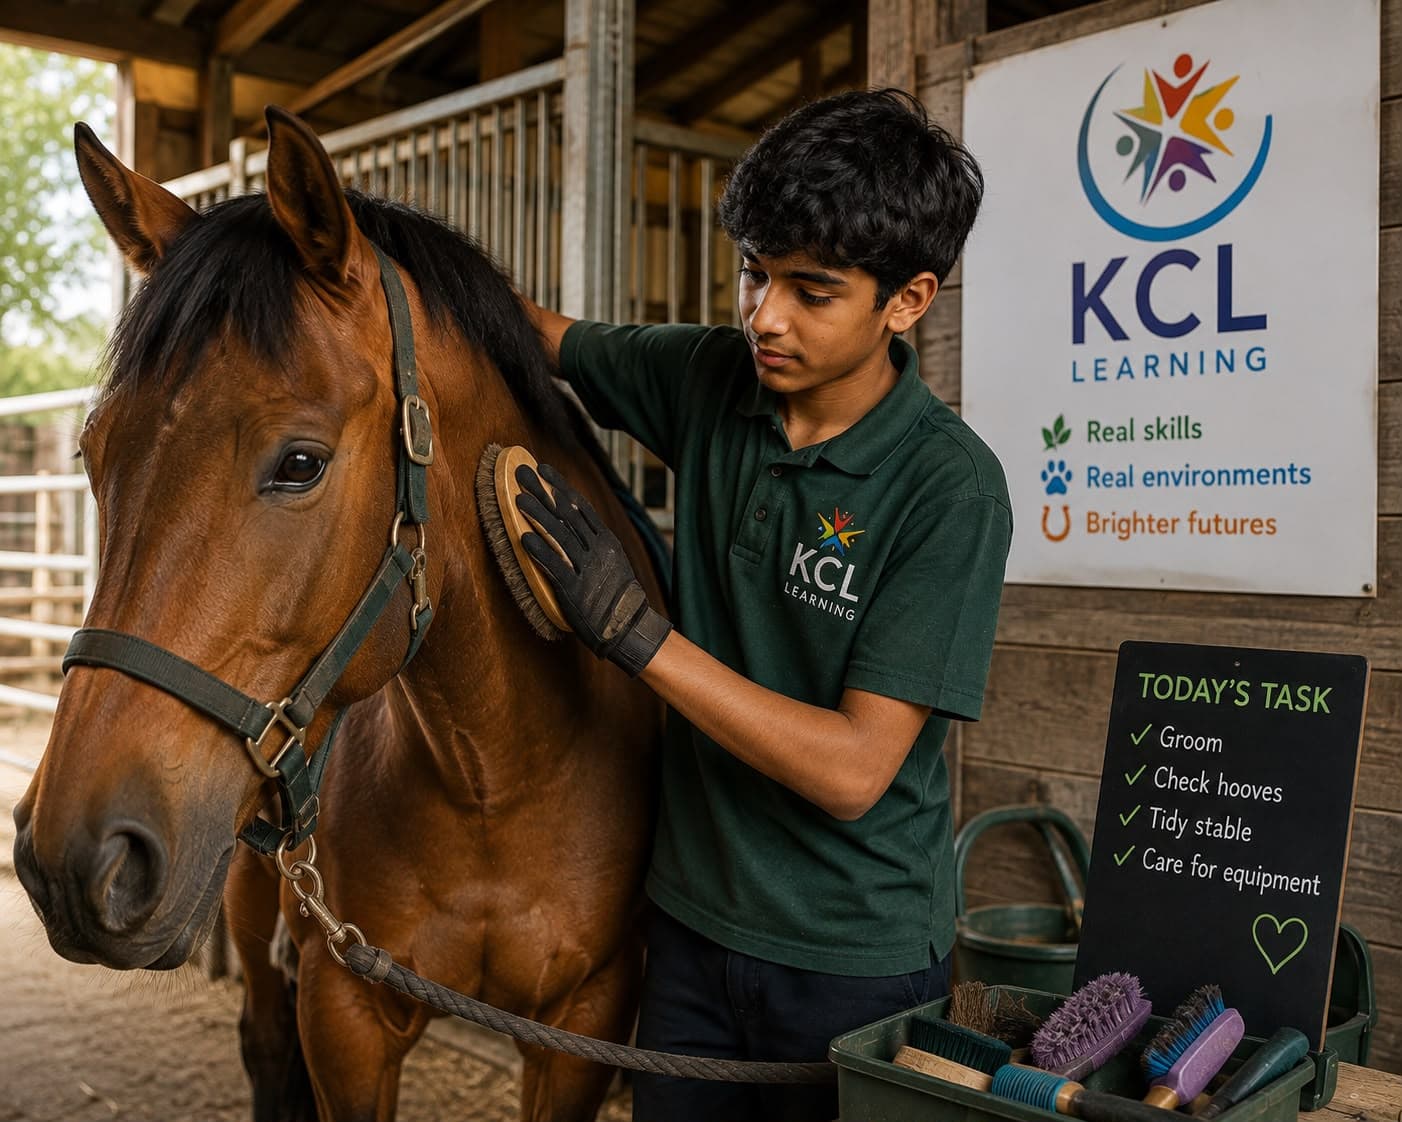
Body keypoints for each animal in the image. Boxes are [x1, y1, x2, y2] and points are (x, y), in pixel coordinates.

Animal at [12, 106, 664, 1122]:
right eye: (91, 453)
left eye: (300, 463)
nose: (72, 859)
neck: (498, 776)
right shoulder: (345, 1011)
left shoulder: (584, 1026)